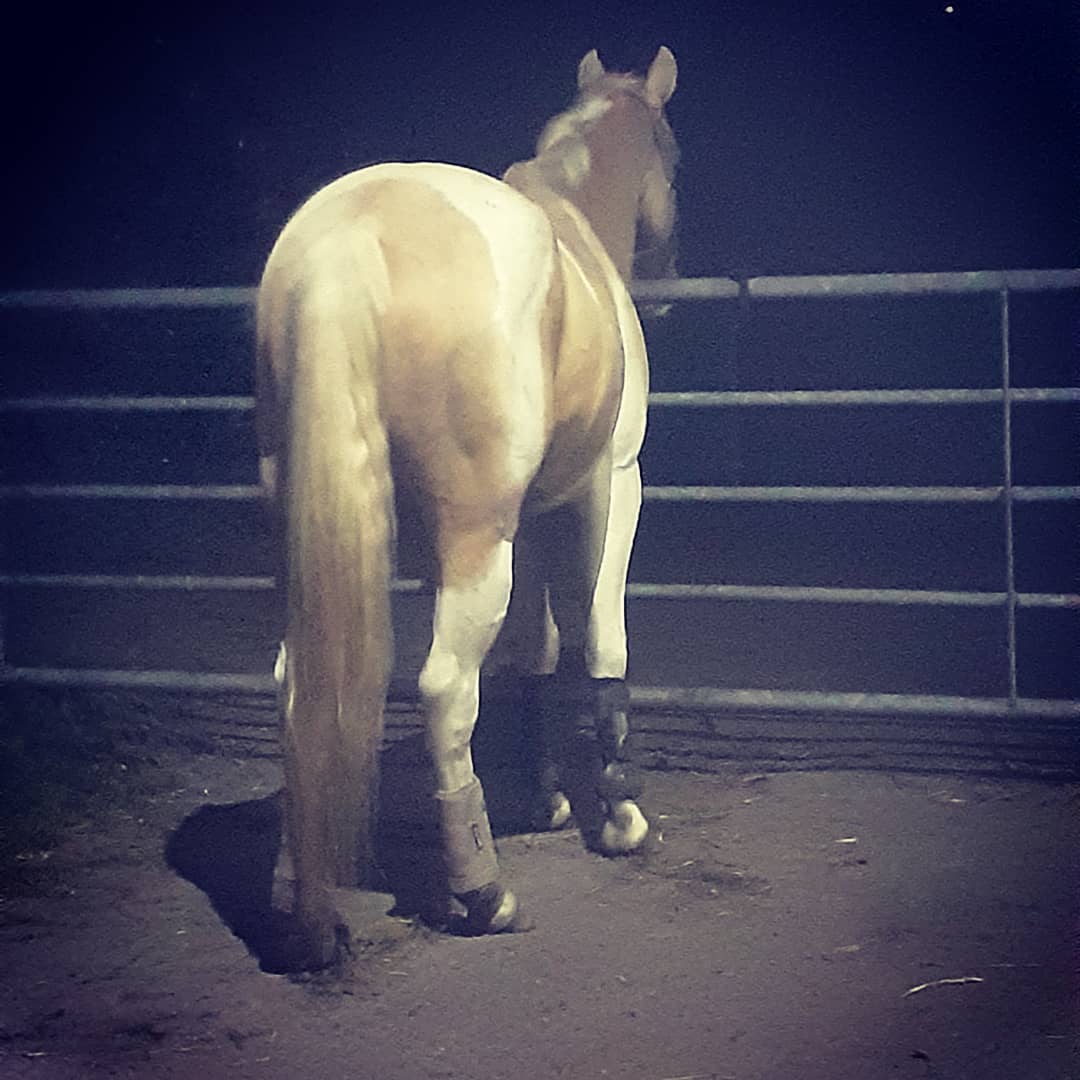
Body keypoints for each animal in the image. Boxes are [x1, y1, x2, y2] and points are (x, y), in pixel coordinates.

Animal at [256, 46, 679, 969]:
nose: (665, 281)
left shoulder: (535, 519)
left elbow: (537, 652)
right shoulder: (612, 486)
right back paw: (485, 894)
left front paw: (549, 802)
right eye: (674, 151)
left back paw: (302, 902)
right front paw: (619, 816)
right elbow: (600, 640)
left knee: (297, 684)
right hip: (477, 540)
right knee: (448, 688)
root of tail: (352, 234)